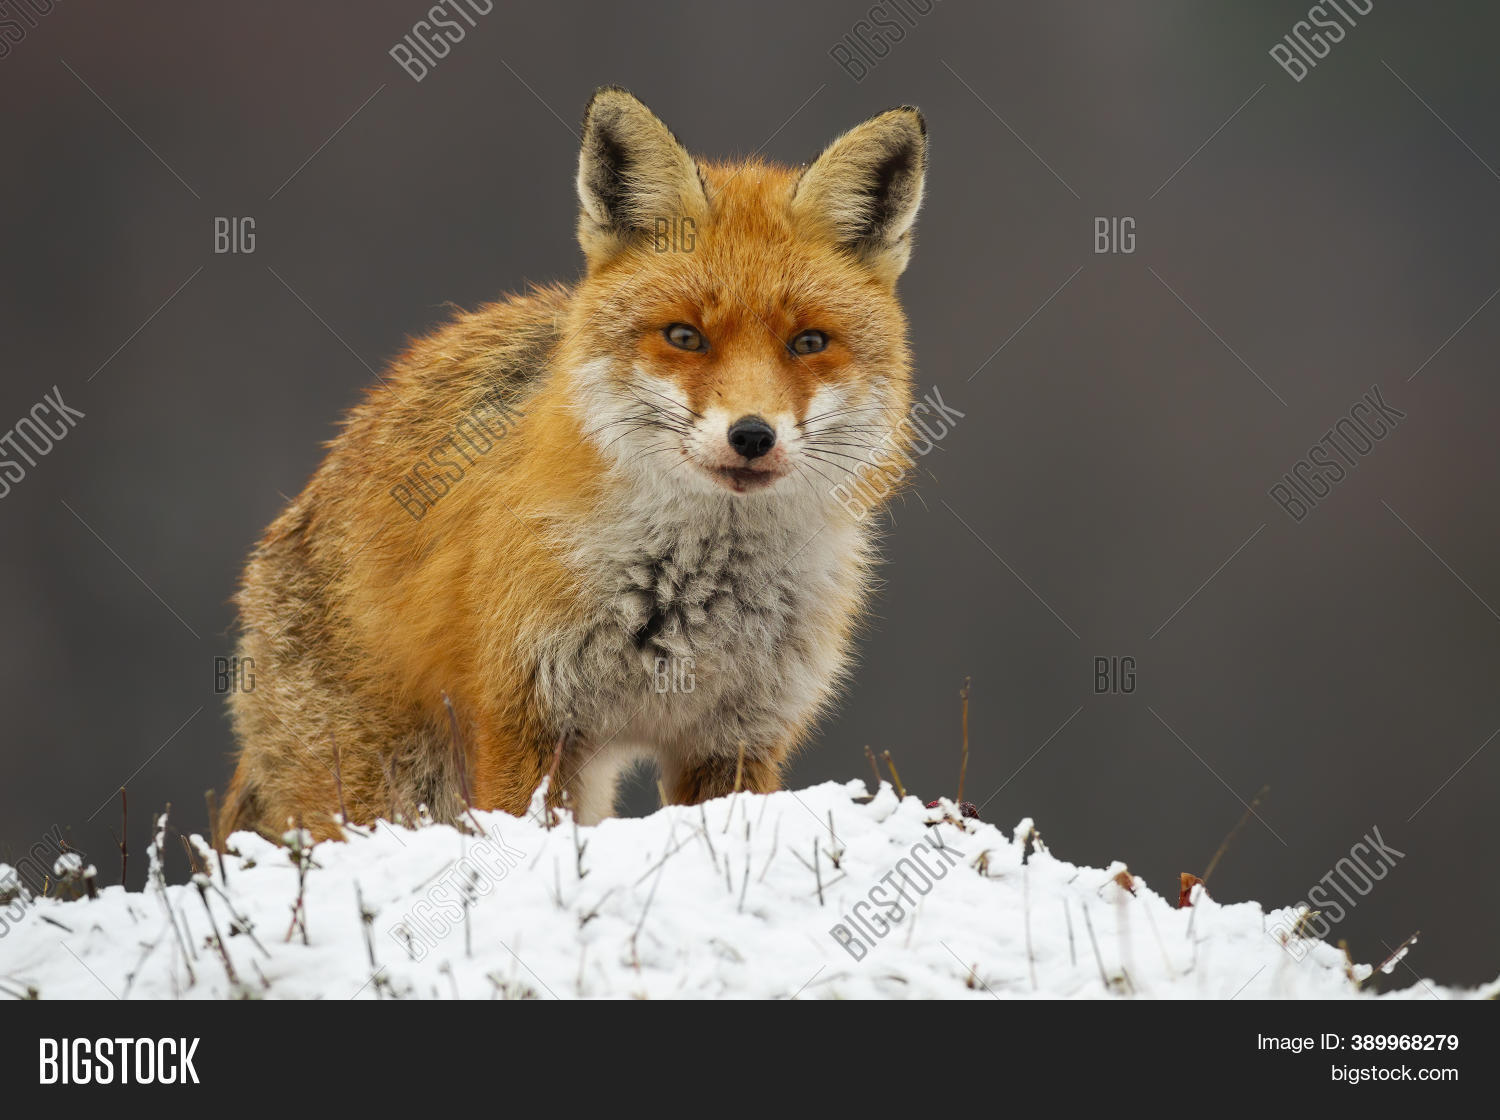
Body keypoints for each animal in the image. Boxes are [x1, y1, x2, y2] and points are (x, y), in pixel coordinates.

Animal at [219, 87, 928, 842]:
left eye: (809, 342)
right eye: (685, 336)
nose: (752, 435)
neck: (696, 588)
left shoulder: (737, 738)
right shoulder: (526, 715)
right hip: (396, 789)